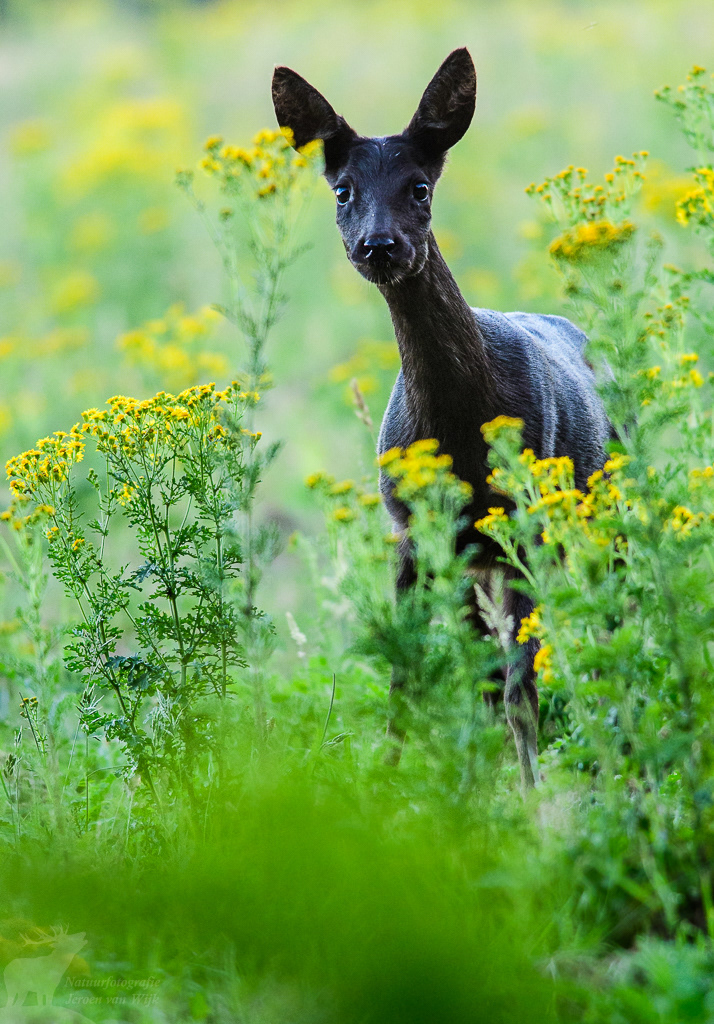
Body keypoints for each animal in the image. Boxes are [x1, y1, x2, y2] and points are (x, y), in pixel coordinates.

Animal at [272, 48, 610, 789]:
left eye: (420, 187)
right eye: (342, 189)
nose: (379, 246)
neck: (459, 426)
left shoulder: (521, 532)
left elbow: (519, 689)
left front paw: (533, 799)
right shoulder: (411, 538)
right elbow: (406, 678)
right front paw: (390, 786)